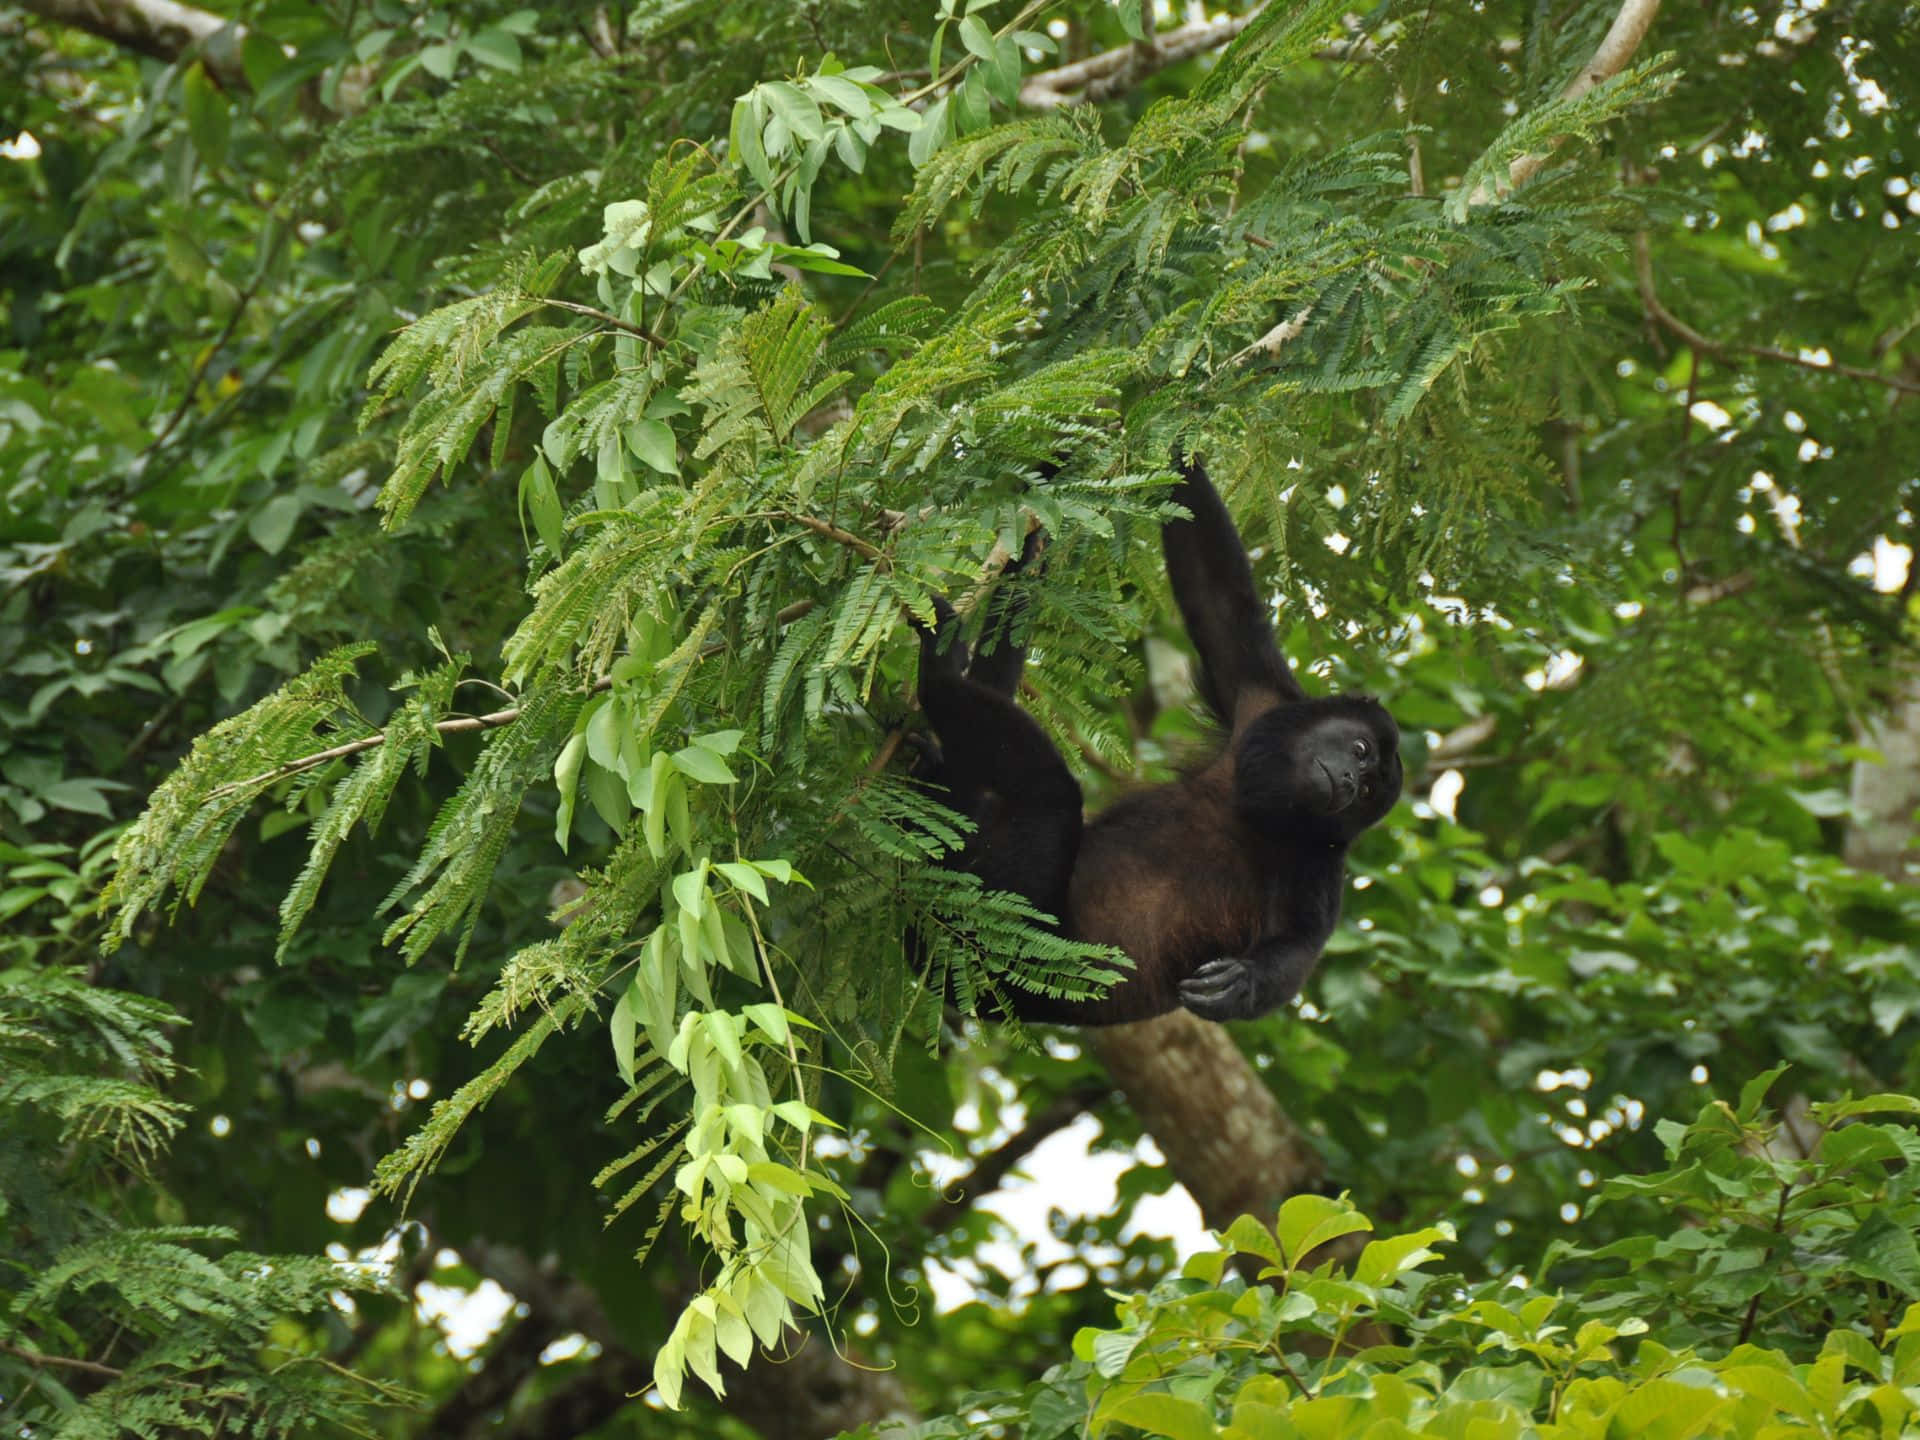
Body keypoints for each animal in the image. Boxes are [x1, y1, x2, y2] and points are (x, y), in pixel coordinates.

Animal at [912, 454, 1402, 1024]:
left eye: (1367, 792)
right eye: (1361, 753)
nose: (1345, 780)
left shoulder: (1322, 861)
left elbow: (1300, 948)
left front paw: (1244, 984)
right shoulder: (1261, 697)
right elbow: (1215, 587)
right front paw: (1172, 441)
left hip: (1008, 948)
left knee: (1050, 794)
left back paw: (939, 679)